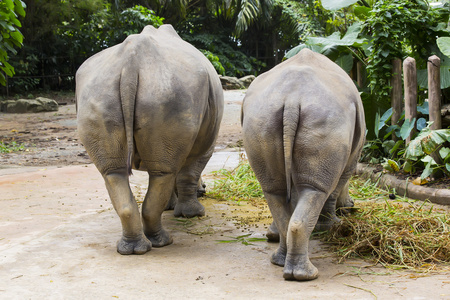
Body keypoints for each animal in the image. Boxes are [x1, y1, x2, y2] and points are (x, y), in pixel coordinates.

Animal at [78, 24, 225, 255]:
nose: (204, 189)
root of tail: (130, 62)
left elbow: (166, 174)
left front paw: (171, 207)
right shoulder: (206, 145)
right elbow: (189, 173)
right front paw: (191, 214)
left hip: (100, 92)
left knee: (117, 173)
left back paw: (133, 249)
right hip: (172, 91)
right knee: (163, 173)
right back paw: (164, 242)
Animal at [241, 48, 364, 280]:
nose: (351, 205)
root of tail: (292, 99)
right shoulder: (349, 161)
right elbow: (335, 188)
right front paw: (332, 226)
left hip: (261, 117)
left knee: (275, 190)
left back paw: (282, 264)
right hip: (327, 118)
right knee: (316, 190)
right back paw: (307, 275)